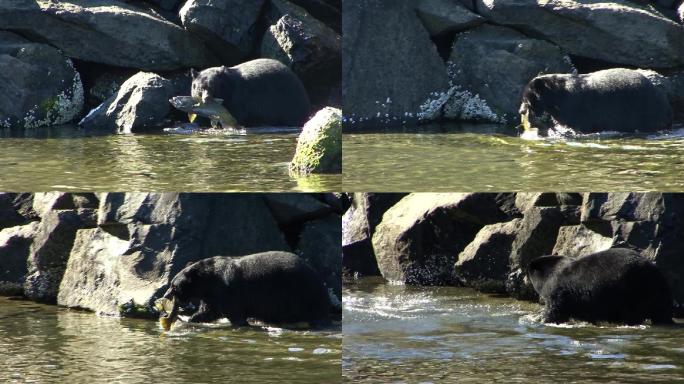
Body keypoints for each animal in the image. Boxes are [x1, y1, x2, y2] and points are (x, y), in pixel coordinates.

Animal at [158, 252, 334, 330]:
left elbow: (234, 313)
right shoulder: (212, 295)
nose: (166, 295)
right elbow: (209, 311)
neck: (208, 280)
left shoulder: (227, 291)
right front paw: (192, 318)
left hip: (302, 293)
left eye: (173, 285)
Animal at [528, 248, 672, 326]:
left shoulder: (558, 291)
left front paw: (543, 319)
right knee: (660, 312)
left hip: (633, 291)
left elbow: (555, 310)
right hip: (655, 292)